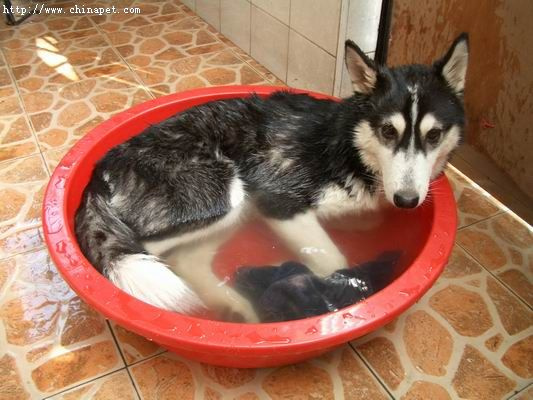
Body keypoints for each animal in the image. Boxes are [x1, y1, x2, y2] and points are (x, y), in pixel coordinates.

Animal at [74, 33, 466, 322]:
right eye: (388, 131)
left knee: (189, 261)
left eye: (434, 135)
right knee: (148, 251)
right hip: (222, 193)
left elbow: (363, 221)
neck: (351, 147)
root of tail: (104, 165)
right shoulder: (279, 200)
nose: (407, 201)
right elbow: (335, 259)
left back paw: (232, 305)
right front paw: (325, 286)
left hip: (236, 207)